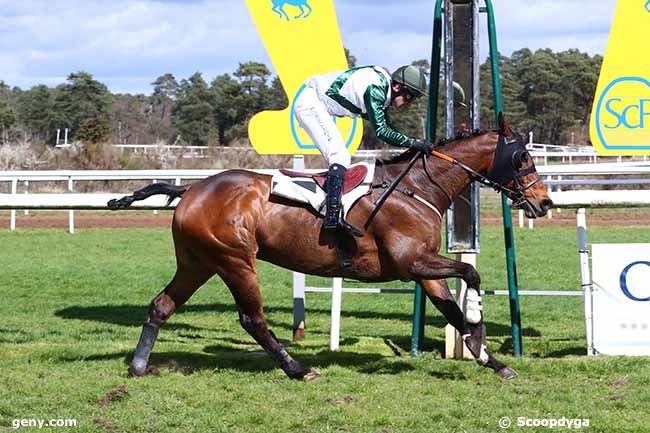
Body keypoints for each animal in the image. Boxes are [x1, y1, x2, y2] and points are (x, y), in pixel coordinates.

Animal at [111, 120, 552, 378]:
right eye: (522, 158)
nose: (544, 202)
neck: (417, 188)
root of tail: (191, 189)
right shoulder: (412, 263)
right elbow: (471, 274)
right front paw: (479, 320)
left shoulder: (424, 271)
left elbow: (454, 314)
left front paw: (492, 360)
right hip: (235, 260)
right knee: (252, 319)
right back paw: (297, 368)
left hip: (198, 262)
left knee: (161, 306)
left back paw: (138, 365)